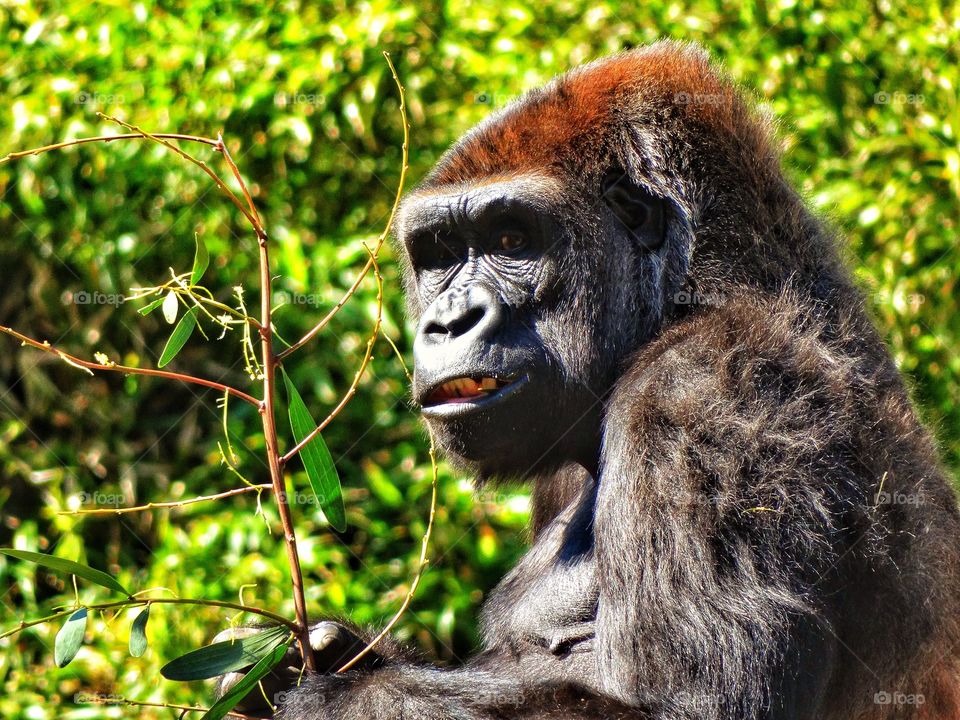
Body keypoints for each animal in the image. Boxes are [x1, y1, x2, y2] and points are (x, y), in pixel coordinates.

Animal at [218, 40, 960, 720]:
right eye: (439, 254)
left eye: (511, 240)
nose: (448, 322)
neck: (706, 289)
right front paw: (320, 655)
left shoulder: (707, 390)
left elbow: (694, 707)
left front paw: (334, 693)